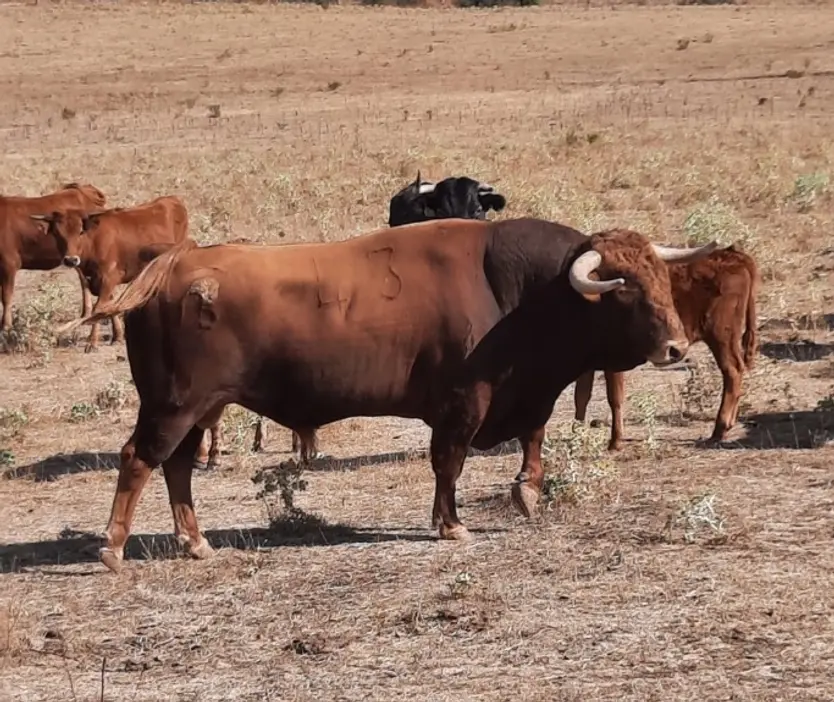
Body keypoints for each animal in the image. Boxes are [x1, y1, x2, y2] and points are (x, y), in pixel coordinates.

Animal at [31, 195, 189, 353]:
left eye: (81, 231)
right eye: (57, 234)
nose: (71, 260)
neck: (93, 241)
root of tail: (172, 199)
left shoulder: (109, 278)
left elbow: (98, 308)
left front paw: (92, 342)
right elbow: (108, 305)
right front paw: (117, 336)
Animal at [58, 217, 716, 574]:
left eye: (661, 278)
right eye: (623, 288)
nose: (676, 348)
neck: (519, 291)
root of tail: (177, 265)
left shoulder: (527, 394)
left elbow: (533, 437)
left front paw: (527, 491)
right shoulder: (463, 403)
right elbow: (449, 463)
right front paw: (451, 524)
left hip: (201, 408)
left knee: (175, 468)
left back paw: (195, 542)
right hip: (175, 405)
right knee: (140, 460)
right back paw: (114, 547)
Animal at [573, 245, 759, 448]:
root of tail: (734, 255)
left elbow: (614, 397)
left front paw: (615, 441)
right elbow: (581, 396)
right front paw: (576, 436)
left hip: (721, 336)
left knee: (732, 371)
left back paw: (720, 428)